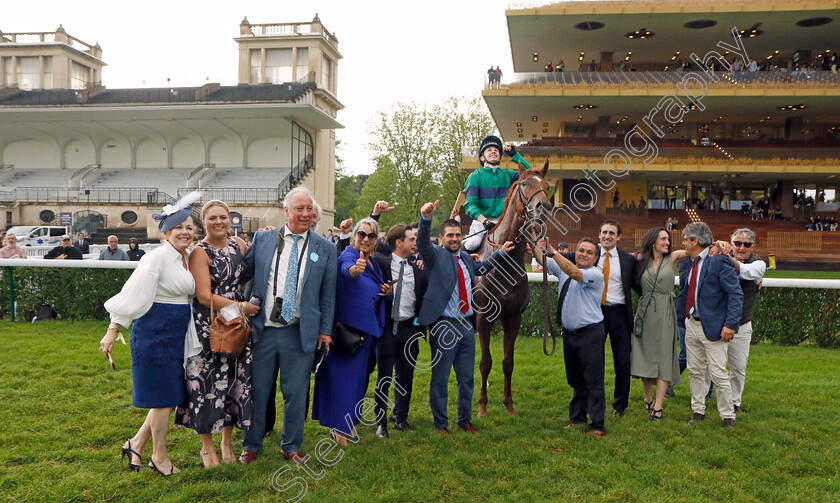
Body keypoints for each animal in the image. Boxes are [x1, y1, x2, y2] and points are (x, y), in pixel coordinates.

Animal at [476, 161, 556, 418]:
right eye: (524, 184)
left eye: (547, 186)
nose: (543, 207)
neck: (502, 261)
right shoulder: (483, 318)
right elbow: (485, 363)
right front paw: (482, 407)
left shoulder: (513, 318)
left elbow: (507, 363)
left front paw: (509, 405)